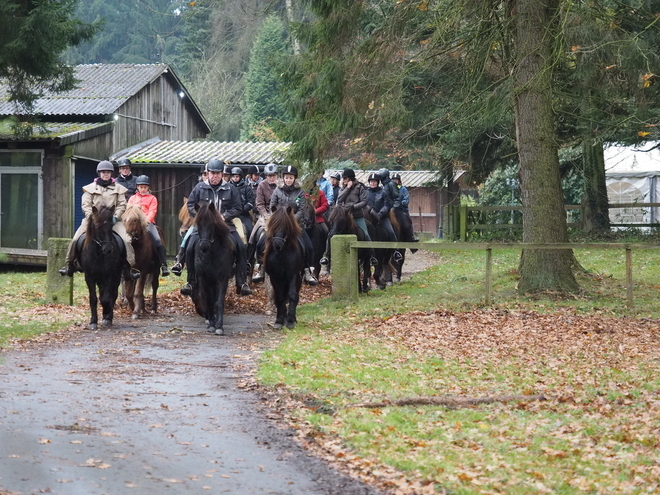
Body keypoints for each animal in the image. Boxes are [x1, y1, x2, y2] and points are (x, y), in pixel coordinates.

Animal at [188, 202, 235, 338]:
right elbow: (209, 300)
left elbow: (218, 302)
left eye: (212, 224)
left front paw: (219, 327)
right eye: (198, 224)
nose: (204, 246)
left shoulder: (222, 279)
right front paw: (211, 325)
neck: (211, 254)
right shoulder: (204, 279)